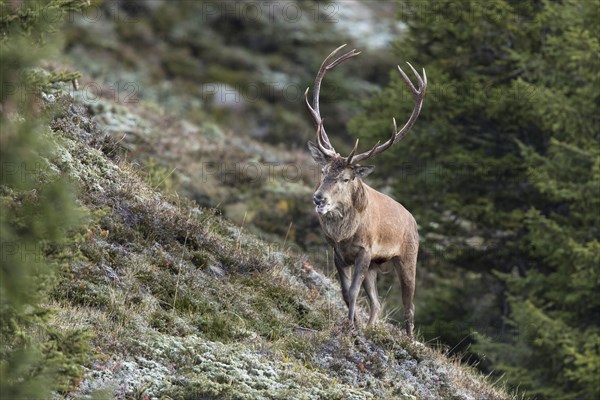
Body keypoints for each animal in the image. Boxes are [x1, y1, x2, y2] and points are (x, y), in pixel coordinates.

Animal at [304, 43, 426, 338]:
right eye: (323, 171)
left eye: (347, 178)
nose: (319, 198)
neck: (346, 234)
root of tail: (413, 220)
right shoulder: (338, 253)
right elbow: (346, 291)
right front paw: (353, 323)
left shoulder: (365, 251)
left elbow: (352, 291)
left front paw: (349, 325)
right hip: (375, 266)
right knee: (378, 304)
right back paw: (370, 327)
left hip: (408, 256)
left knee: (409, 306)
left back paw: (409, 339)